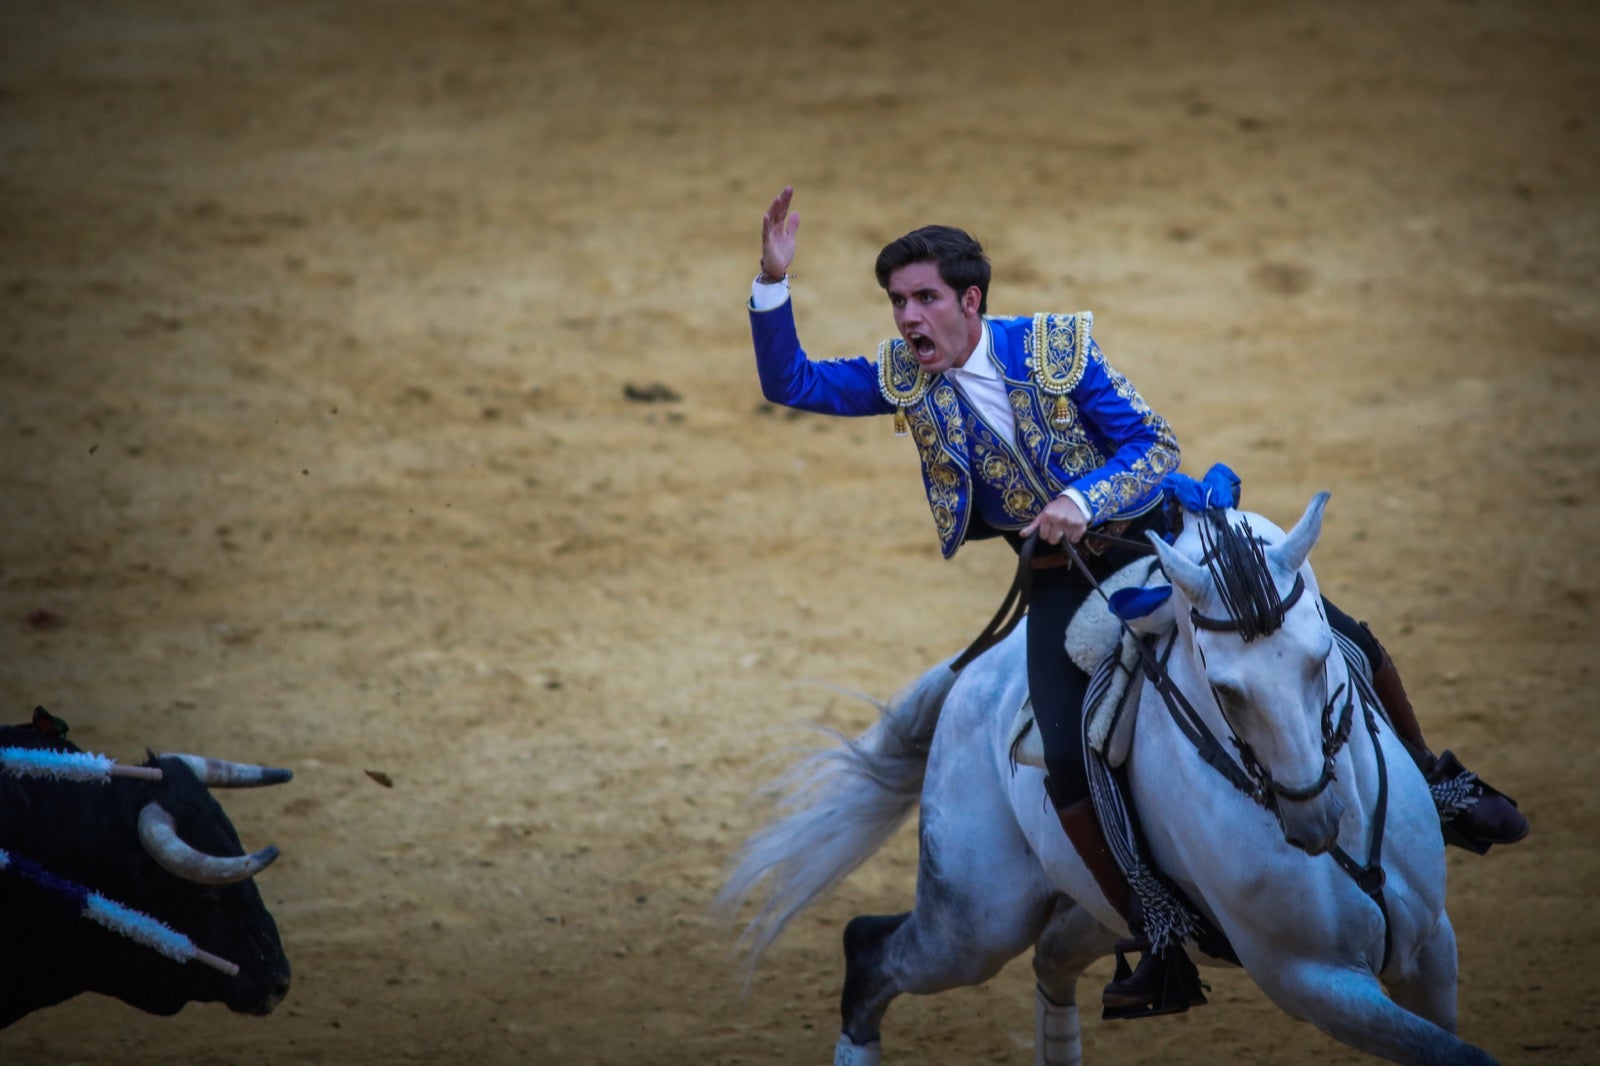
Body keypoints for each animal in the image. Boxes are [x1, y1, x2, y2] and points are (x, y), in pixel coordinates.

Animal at [720, 489, 1491, 1062]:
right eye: (1224, 689)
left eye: (1321, 656)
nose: (1312, 821)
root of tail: (970, 678)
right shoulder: (1312, 980)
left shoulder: (1432, 945)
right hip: (973, 921)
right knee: (872, 956)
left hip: (1098, 905)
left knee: (1052, 960)